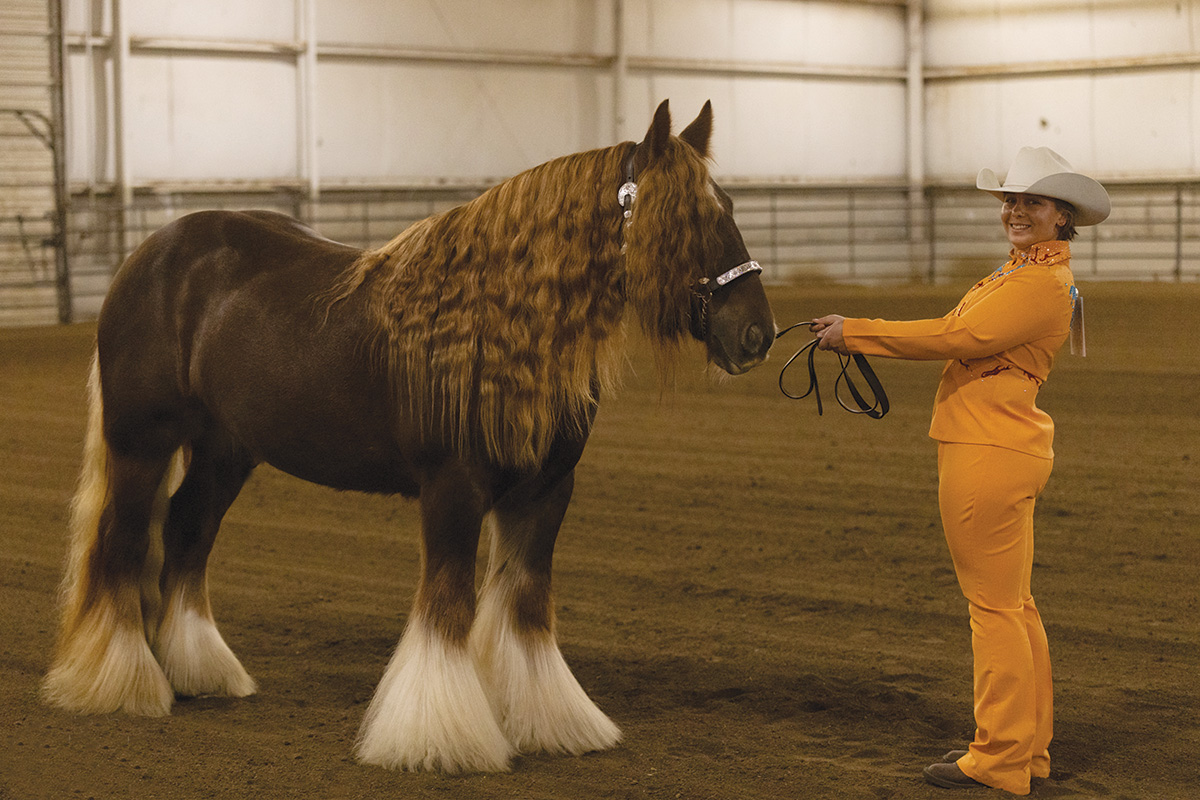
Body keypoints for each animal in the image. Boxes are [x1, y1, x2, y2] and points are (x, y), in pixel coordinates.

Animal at [42, 100, 777, 777]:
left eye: (728, 204)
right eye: (686, 217)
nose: (756, 335)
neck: (499, 319)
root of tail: (150, 255)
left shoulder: (544, 493)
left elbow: (526, 608)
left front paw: (550, 723)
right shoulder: (452, 489)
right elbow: (448, 604)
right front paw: (440, 738)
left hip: (226, 450)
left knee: (188, 530)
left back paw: (200, 672)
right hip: (141, 442)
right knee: (123, 542)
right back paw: (121, 683)